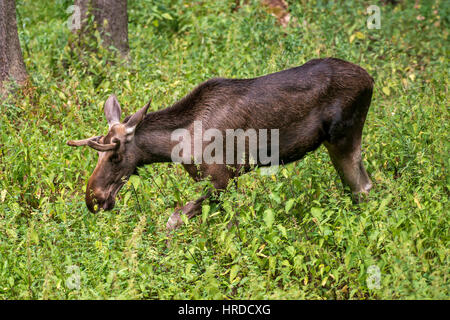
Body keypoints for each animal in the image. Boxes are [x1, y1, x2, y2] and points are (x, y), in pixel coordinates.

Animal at [68, 58, 374, 230]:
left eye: (115, 157)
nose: (93, 199)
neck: (177, 147)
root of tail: (370, 78)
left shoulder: (222, 179)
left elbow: (176, 219)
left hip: (344, 135)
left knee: (362, 186)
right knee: (361, 186)